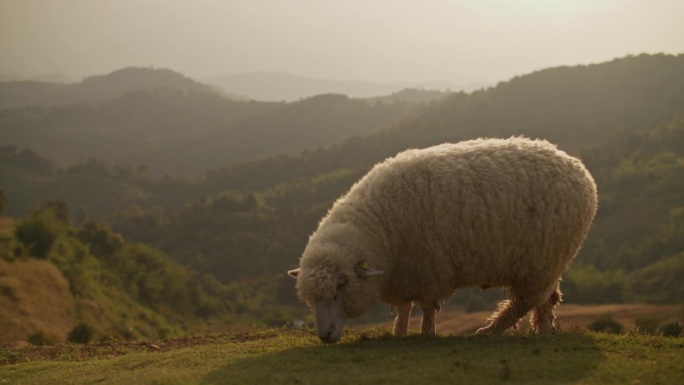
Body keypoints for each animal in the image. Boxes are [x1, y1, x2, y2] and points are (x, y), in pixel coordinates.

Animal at [288, 137, 600, 342]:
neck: (378, 225)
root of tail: (580, 170)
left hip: (541, 260)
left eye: (340, 287)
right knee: (547, 299)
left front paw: (427, 333)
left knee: (525, 301)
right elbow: (404, 306)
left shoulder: (428, 269)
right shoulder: (406, 272)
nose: (325, 335)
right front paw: (399, 331)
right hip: (549, 261)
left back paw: (491, 330)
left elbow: (427, 306)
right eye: (310, 299)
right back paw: (543, 329)